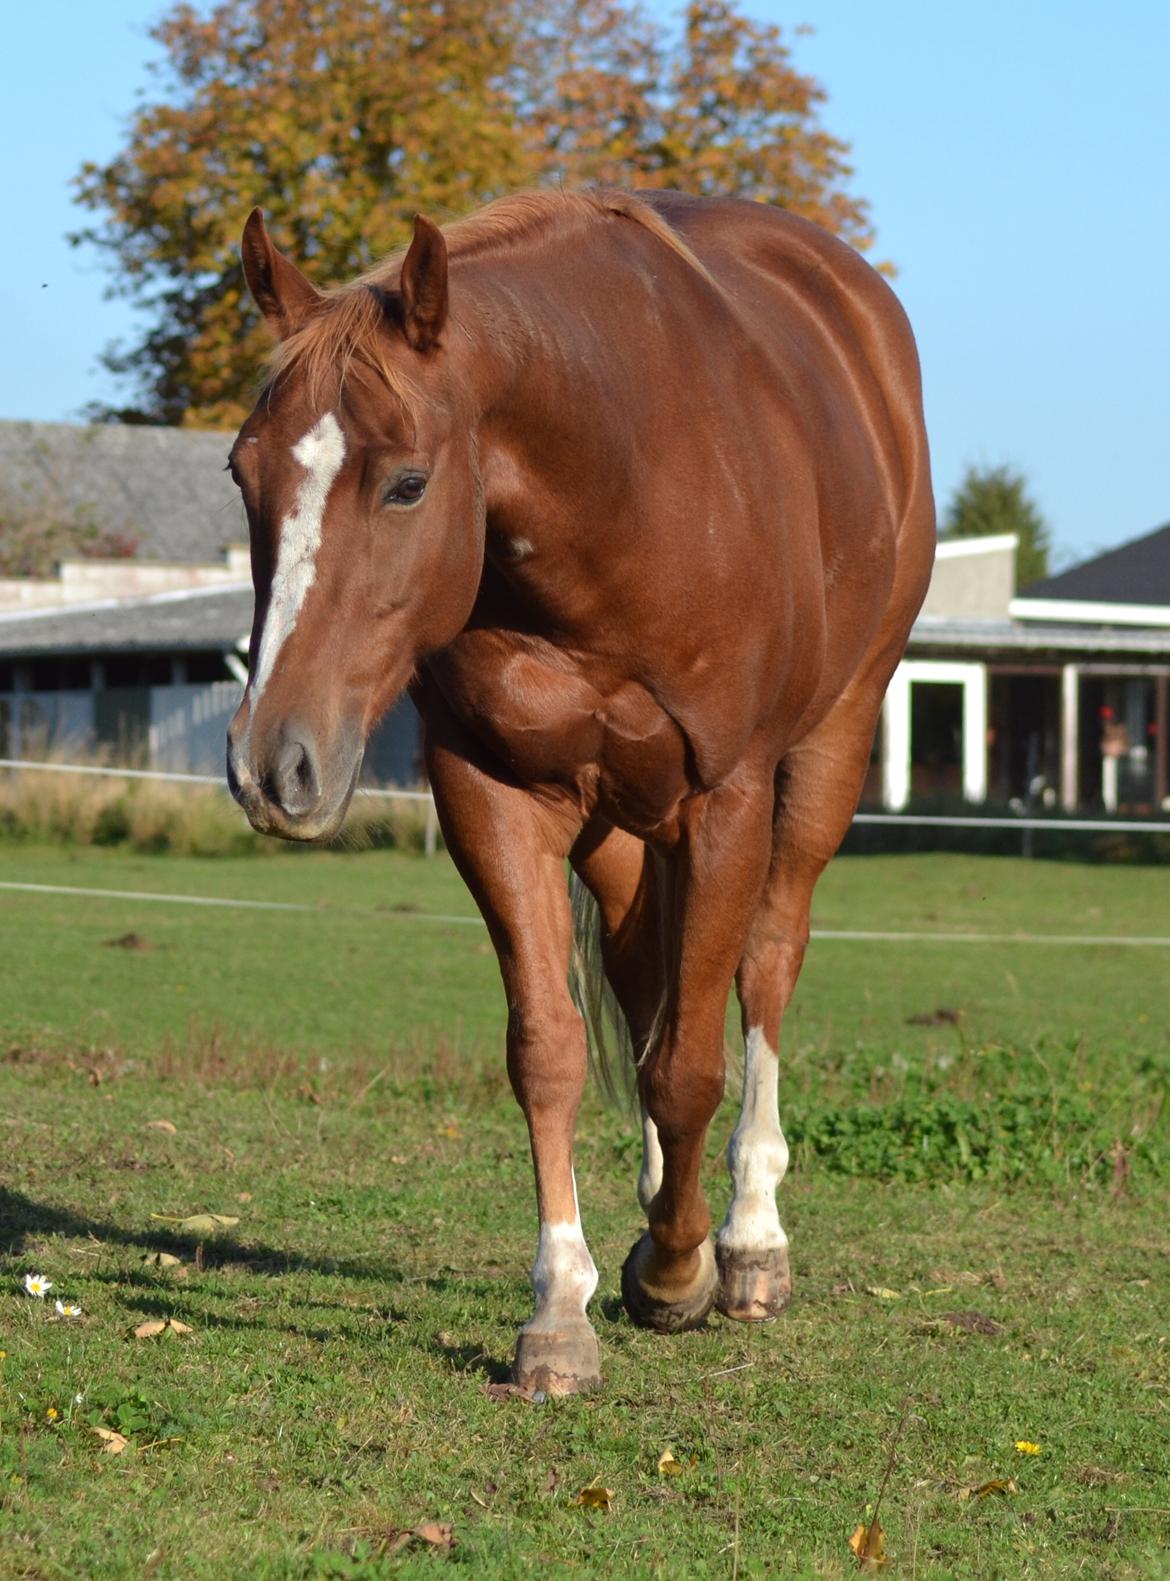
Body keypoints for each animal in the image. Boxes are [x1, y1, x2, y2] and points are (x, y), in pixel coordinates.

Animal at [229, 188, 936, 1397]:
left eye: (407, 482)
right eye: (242, 472)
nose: (274, 763)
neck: (618, 495)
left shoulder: (726, 800)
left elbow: (692, 1063)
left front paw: (680, 1268)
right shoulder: (494, 790)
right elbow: (553, 1049)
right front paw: (562, 1306)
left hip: (825, 752)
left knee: (766, 964)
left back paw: (747, 1238)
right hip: (615, 821)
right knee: (645, 972)